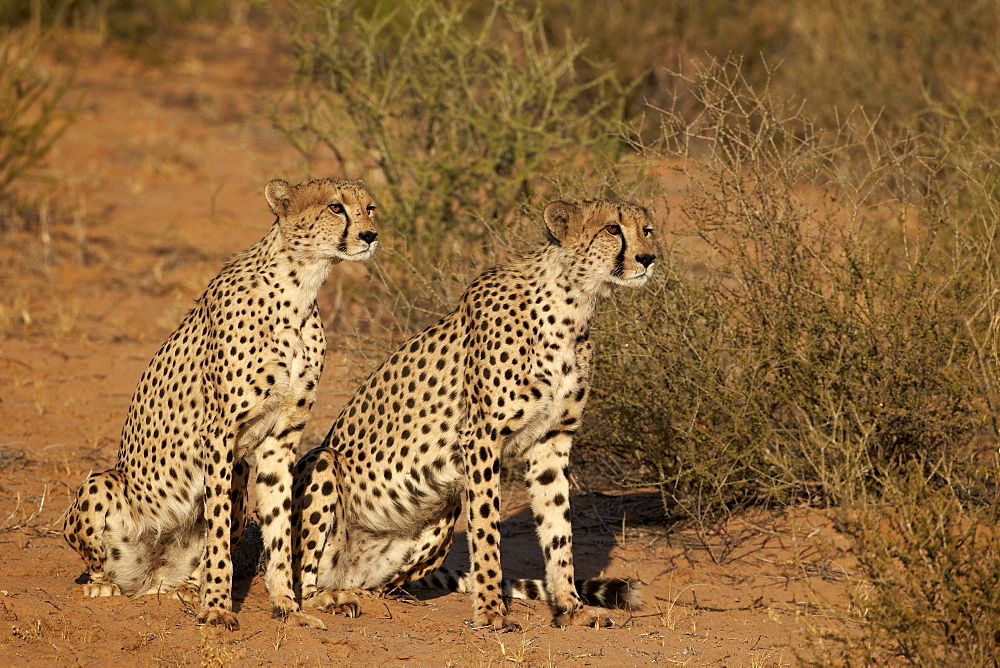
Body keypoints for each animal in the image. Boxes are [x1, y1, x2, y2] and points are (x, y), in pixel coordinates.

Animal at [62, 177, 380, 632]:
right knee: (100, 564)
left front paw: (287, 606)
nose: (370, 235)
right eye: (336, 207)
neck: (301, 285)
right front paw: (215, 607)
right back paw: (106, 585)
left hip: (245, 477)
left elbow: (278, 528)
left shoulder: (280, 438)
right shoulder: (219, 434)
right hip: (104, 483)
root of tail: (148, 576)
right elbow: (217, 537)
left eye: (370, 208)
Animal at [292, 196, 656, 628]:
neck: (573, 304)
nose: (648, 257)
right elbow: (486, 528)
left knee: (377, 587)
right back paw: (328, 599)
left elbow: (558, 529)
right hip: (323, 463)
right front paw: (491, 611)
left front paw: (571, 607)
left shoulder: (553, 441)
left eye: (646, 230)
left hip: (441, 513)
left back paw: (358, 593)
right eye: (612, 229)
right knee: (301, 579)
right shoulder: (481, 436)